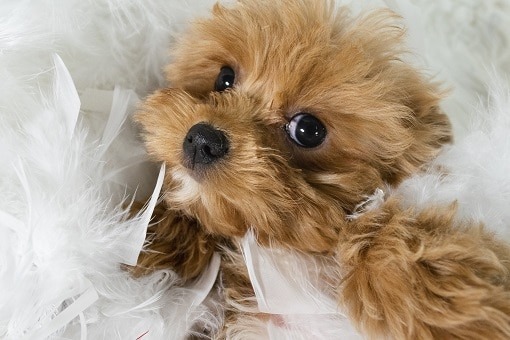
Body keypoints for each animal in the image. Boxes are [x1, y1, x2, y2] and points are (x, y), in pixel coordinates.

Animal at [132, 1, 510, 338]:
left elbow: (378, 228)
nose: (202, 139)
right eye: (224, 79)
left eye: (308, 130)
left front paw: (466, 308)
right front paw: (155, 237)